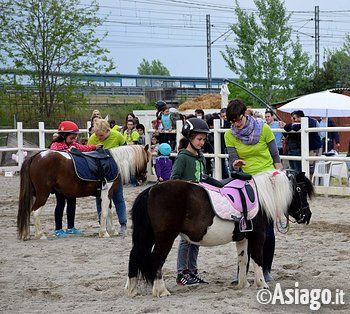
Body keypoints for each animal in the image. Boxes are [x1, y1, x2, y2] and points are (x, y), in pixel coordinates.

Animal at [16, 145, 150, 240]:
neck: (115, 161)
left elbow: (110, 212)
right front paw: (104, 233)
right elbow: (104, 213)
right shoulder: (106, 193)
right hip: (43, 194)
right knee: (35, 212)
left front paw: (112, 231)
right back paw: (40, 235)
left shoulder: (109, 194)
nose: (143, 178)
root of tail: (36, 157)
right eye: (147, 160)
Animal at [125, 170, 314, 298]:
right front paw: (262, 285)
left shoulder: (243, 238)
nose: (307, 216)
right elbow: (257, 260)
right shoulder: (258, 236)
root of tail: (151, 190)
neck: (261, 197)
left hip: (147, 237)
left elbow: (243, 260)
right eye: (302, 190)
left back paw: (131, 289)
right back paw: (161, 290)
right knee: (156, 260)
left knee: (134, 256)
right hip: (165, 238)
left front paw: (243, 284)